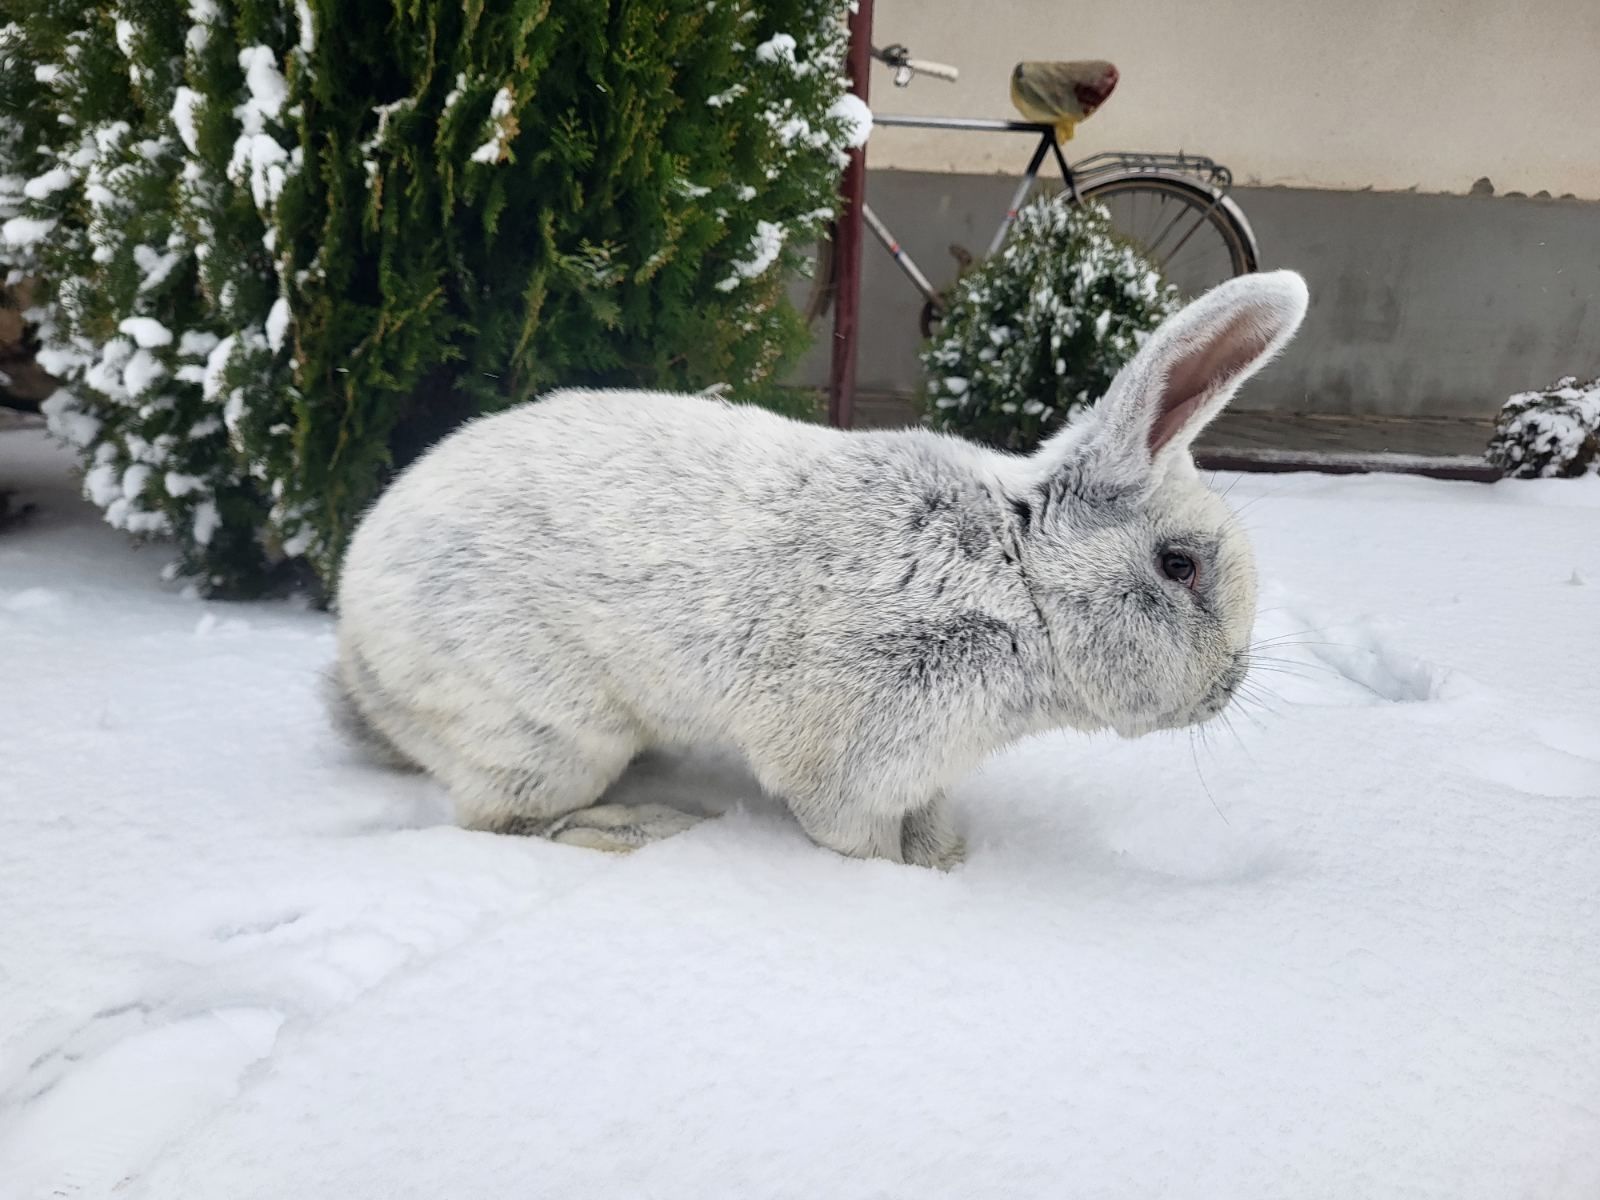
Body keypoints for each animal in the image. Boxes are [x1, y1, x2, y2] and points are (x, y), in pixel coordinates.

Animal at [331, 272, 1305, 870]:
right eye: (1178, 567)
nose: (1230, 682)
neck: (1019, 580)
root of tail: (355, 644)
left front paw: (945, 860)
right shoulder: (854, 754)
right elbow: (851, 836)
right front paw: (901, 879)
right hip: (548, 731)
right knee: (500, 821)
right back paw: (645, 825)